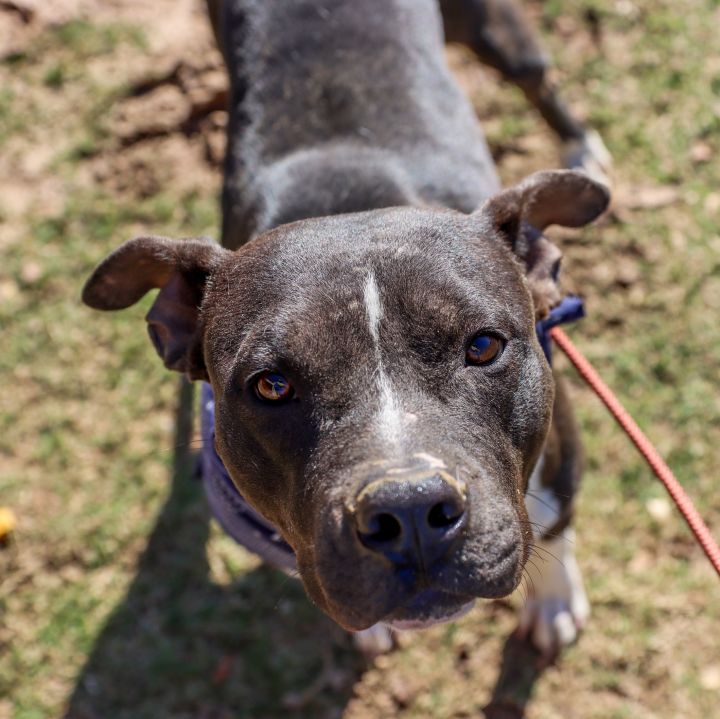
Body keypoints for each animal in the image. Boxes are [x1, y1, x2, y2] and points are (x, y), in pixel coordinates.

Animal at [80, 0, 608, 660]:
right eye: (270, 385)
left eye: (484, 346)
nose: (409, 510)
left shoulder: (561, 457)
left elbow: (556, 524)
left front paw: (554, 601)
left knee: (536, 78)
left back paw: (581, 146)